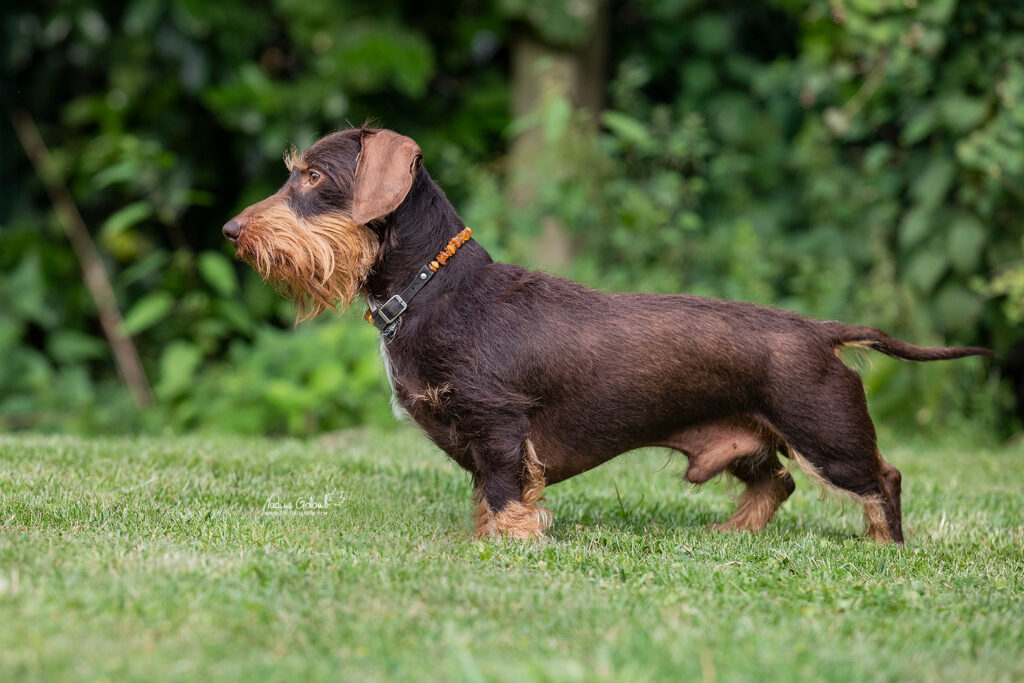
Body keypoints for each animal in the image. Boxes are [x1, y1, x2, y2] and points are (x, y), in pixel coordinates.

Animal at [224, 126, 991, 544]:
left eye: (313, 176)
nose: (232, 231)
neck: (437, 289)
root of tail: (818, 328)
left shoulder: (498, 424)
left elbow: (503, 490)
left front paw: (511, 543)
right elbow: (486, 496)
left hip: (826, 433)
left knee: (882, 478)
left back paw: (885, 546)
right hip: (749, 438)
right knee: (776, 483)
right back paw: (732, 532)